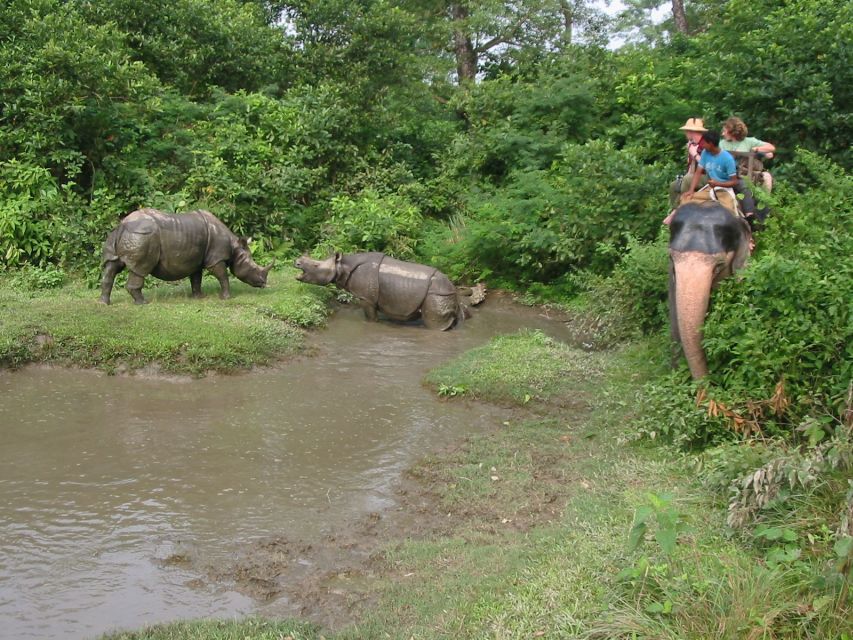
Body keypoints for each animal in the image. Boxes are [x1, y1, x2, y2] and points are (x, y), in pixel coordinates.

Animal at [99, 208, 272, 302]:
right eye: (252, 267)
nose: (264, 284)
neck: (234, 246)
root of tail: (122, 225)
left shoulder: (197, 259)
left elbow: (196, 279)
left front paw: (199, 297)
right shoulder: (216, 258)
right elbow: (223, 276)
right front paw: (226, 298)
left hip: (124, 235)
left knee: (112, 266)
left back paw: (103, 303)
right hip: (143, 236)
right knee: (140, 269)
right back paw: (143, 303)